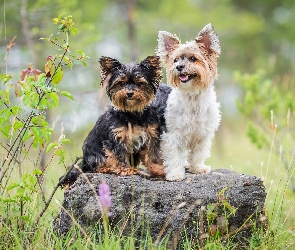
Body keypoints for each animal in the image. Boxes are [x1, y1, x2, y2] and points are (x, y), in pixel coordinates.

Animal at [60, 56, 166, 186]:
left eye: (139, 83)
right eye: (121, 83)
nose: (129, 93)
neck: (133, 114)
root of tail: (84, 162)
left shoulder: (150, 135)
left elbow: (152, 154)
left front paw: (157, 169)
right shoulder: (117, 138)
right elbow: (119, 155)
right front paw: (125, 170)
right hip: (95, 155)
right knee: (96, 166)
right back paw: (108, 168)